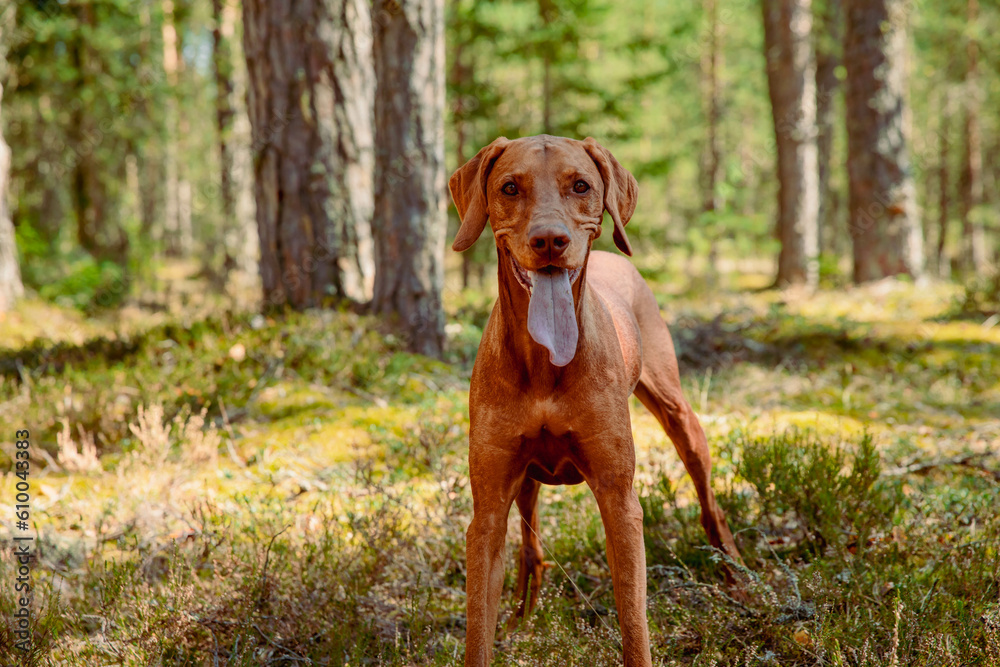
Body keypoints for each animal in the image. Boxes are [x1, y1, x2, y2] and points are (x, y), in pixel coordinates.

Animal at [450, 136, 740, 667]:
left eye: (581, 185)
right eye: (510, 187)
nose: (550, 241)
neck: (545, 365)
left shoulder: (618, 497)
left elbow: (634, 623)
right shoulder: (488, 509)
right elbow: (478, 629)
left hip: (678, 415)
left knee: (711, 505)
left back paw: (738, 579)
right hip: (525, 481)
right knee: (531, 545)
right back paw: (523, 617)